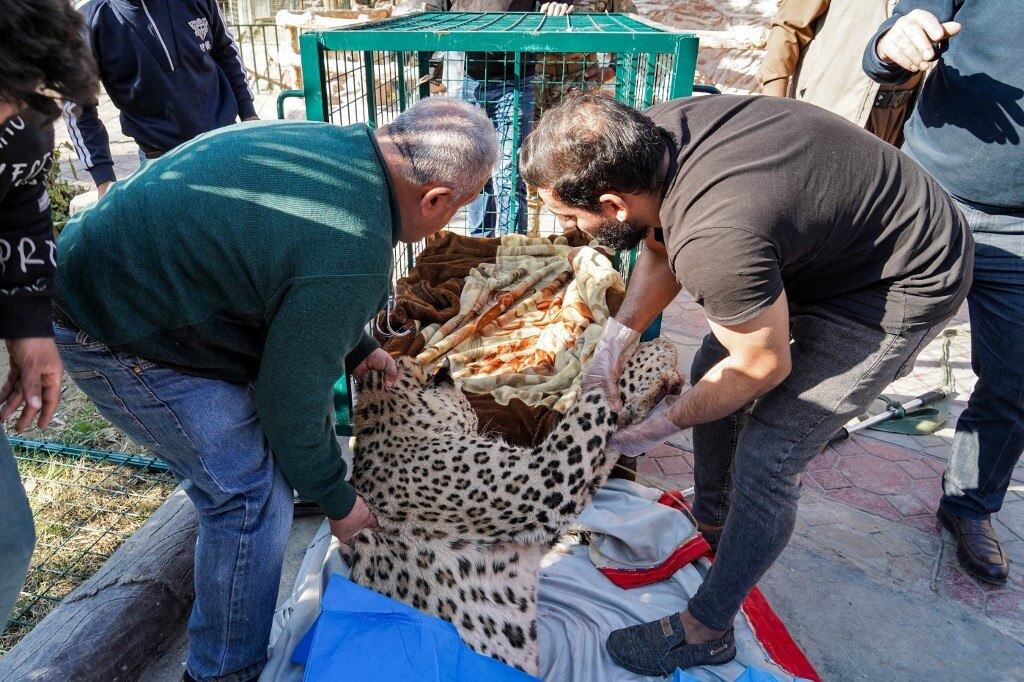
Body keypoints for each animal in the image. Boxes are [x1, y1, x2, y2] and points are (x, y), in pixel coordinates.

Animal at [347, 339, 683, 675]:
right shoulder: (545, 477)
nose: (480, 429)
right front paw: (648, 355)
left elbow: (609, 445)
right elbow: (594, 402)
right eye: (472, 415)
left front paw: (655, 384)